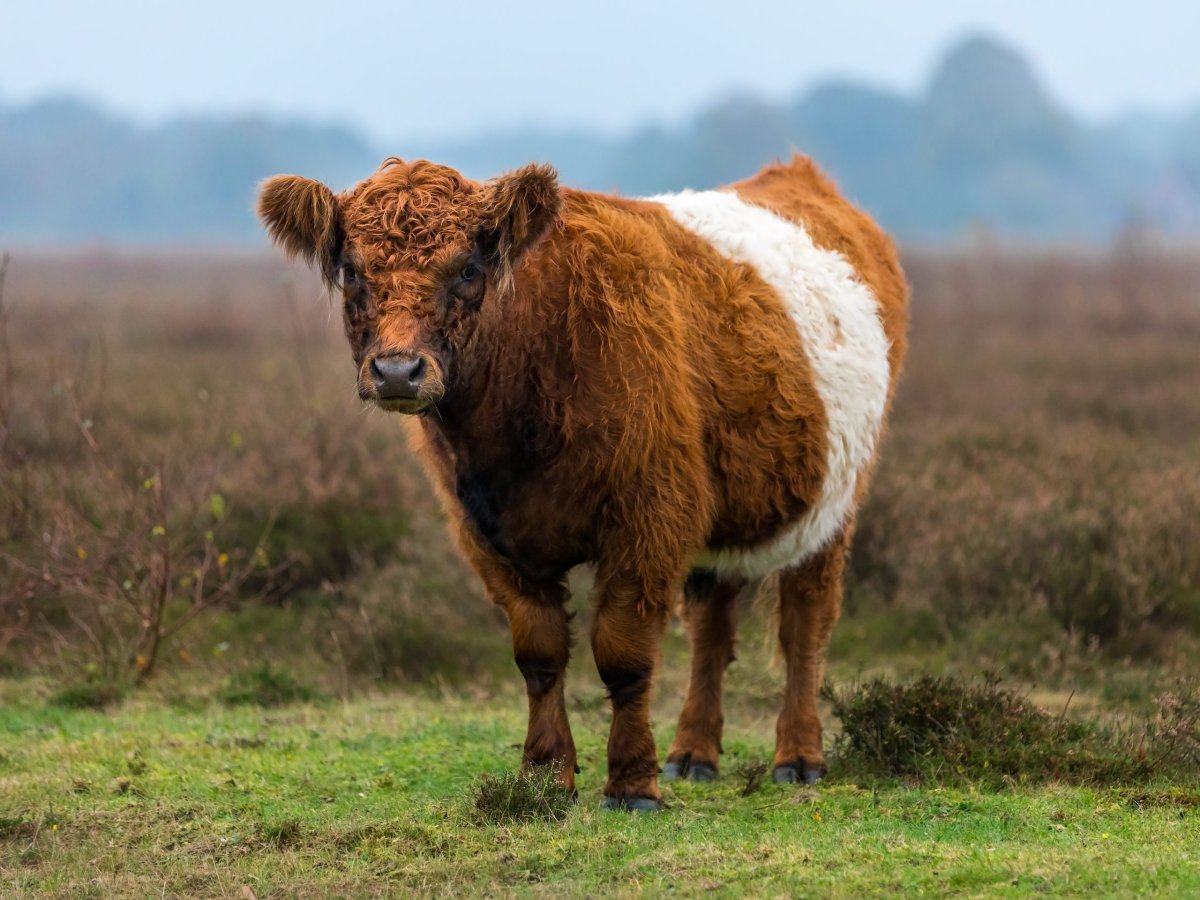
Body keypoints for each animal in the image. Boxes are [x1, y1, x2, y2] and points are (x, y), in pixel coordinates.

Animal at [257, 154, 908, 811]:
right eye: (351, 269)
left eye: (468, 268)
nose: (397, 371)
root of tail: (798, 176)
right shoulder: (488, 533)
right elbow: (540, 655)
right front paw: (546, 775)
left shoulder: (649, 517)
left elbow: (623, 654)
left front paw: (632, 782)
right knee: (712, 625)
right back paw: (693, 754)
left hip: (832, 502)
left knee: (805, 623)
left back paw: (798, 756)